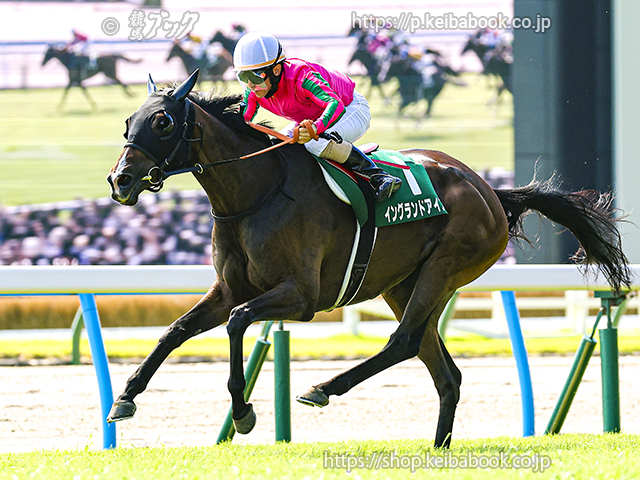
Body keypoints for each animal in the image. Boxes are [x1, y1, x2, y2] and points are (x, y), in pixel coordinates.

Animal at [105, 69, 631, 448]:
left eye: (163, 122)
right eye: (128, 122)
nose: (120, 181)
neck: (256, 192)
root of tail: (491, 191)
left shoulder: (301, 296)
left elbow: (237, 322)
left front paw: (244, 412)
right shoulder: (230, 289)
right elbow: (175, 331)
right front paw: (124, 400)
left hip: (445, 267)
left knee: (403, 343)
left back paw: (322, 388)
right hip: (404, 284)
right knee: (444, 371)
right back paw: (437, 447)